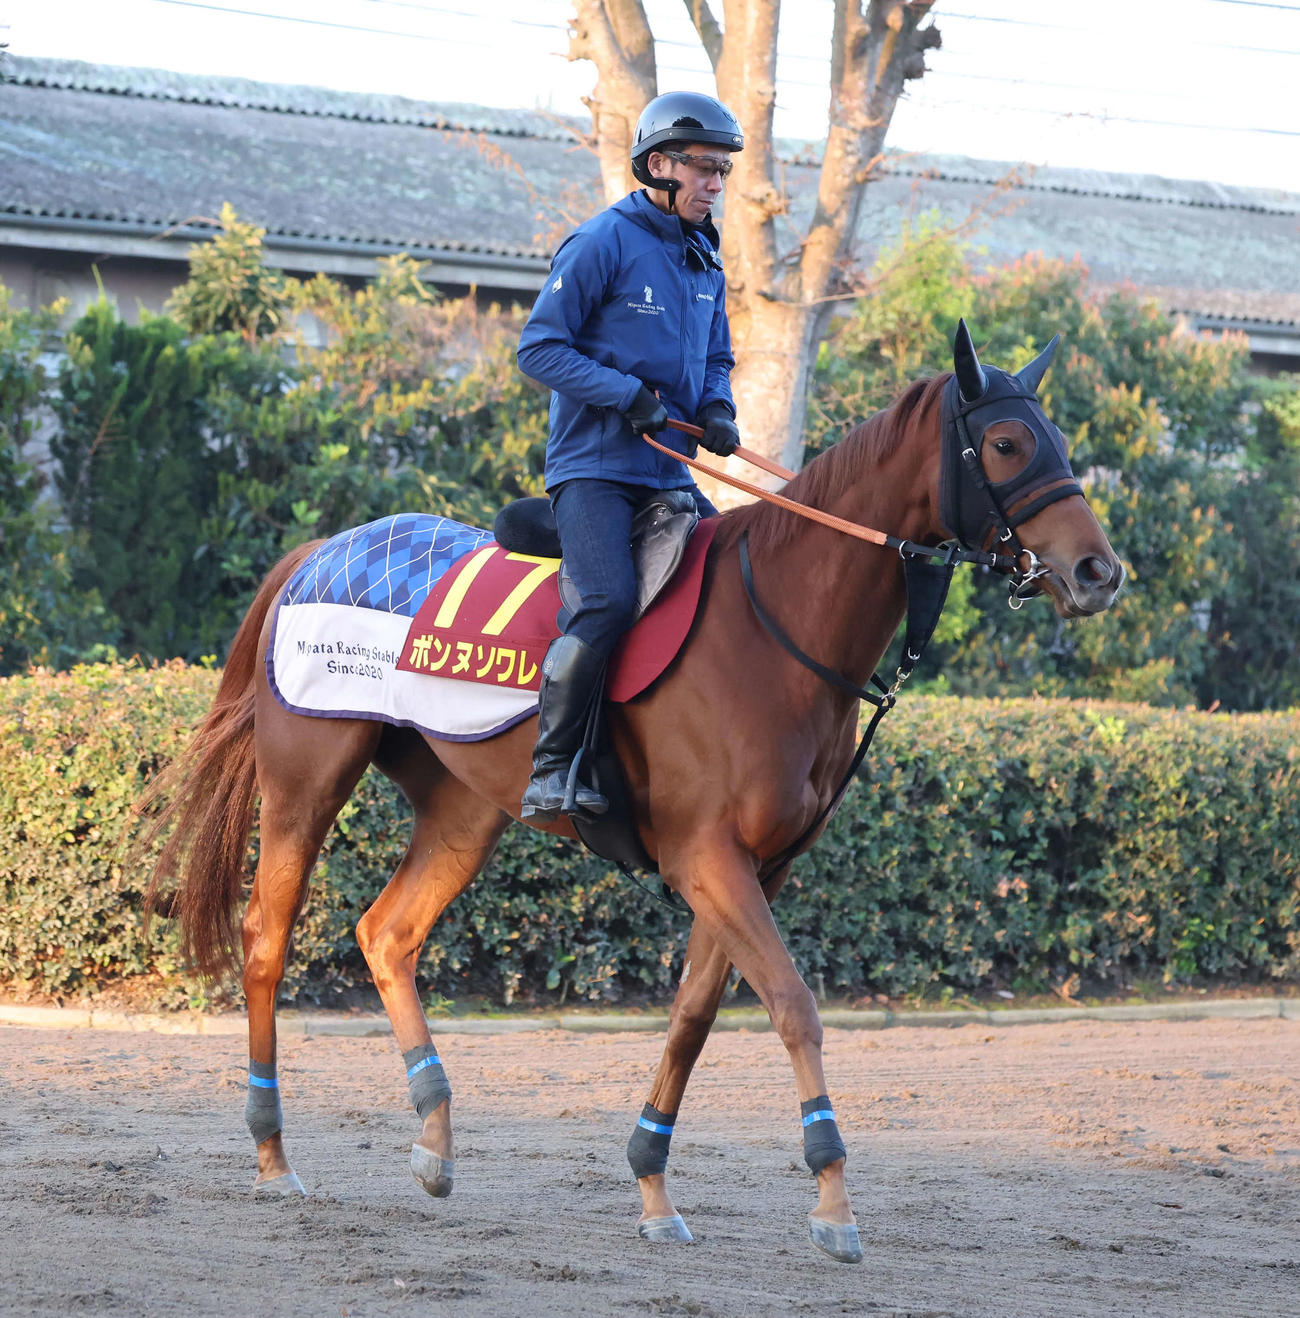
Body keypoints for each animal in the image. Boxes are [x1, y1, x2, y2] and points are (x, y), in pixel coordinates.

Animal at [142, 324, 1124, 1264]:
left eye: (1057, 440)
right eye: (1005, 442)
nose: (1098, 573)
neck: (775, 627)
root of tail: (320, 551)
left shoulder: (753, 868)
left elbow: (693, 1017)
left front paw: (653, 1185)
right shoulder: (707, 857)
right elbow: (795, 1007)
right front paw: (833, 1198)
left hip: (465, 809)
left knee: (388, 933)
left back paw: (435, 1134)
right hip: (307, 780)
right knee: (266, 940)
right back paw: (273, 1154)